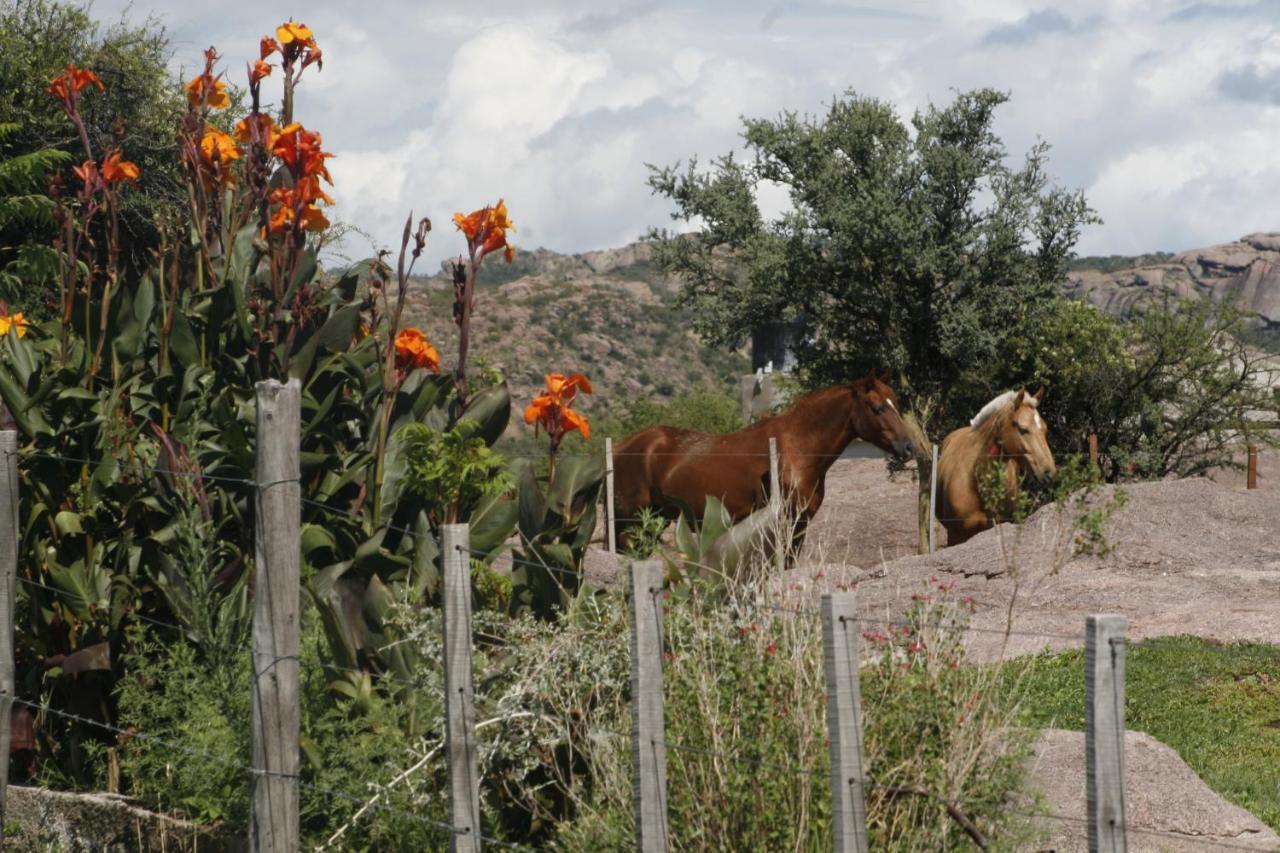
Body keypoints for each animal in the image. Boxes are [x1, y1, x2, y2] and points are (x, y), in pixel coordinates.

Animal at [614, 371, 916, 545]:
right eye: (877, 408)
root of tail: (622, 446)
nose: (909, 447)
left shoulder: (800, 525)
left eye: (896, 402)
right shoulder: (782, 523)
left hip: (654, 521)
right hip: (631, 523)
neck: (798, 449)